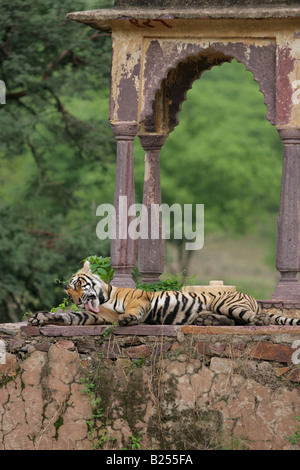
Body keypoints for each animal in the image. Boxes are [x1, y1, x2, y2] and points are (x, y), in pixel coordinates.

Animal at [27, 258, 300, 328]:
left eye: (78, 285)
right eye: (69, 293)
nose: (76, 300)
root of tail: (253, 299)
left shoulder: (140, 299)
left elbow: (132, 309)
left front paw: (128, 319)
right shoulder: (96, 316)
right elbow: (68, 316)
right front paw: (39, 317)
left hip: (227, 302)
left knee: (249, 318)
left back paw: (260, 319)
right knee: (234, 321)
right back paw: (206, 320)